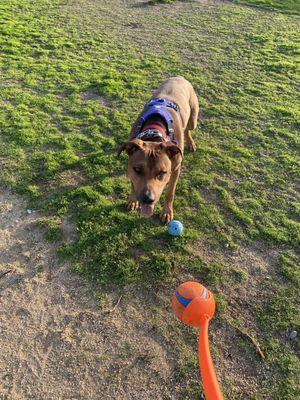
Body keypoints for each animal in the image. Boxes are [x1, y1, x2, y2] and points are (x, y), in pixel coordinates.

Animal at [118, 76, 198, 223]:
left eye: (162, 173)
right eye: (137, 170)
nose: (147, 199)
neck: (155, 131)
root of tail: (179, 77)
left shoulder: (176, 168)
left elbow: (170, 192)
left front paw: (167, 211)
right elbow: (133, 184)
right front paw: (133, 200)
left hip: (193, 118)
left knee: (188, 129)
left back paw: (190, 142)